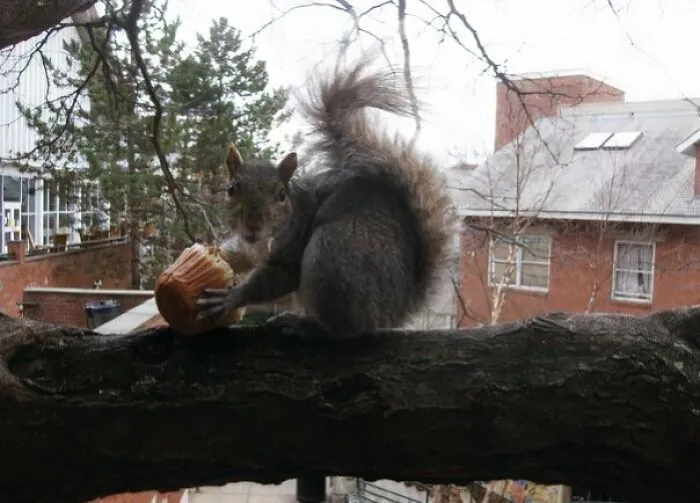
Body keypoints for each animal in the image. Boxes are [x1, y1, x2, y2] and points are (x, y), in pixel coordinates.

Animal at [196, 56, 455, 338]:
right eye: (232, 189)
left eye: (281, 195)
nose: (253, 224)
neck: (260, 242)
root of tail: (396, 310)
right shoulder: (246, 247)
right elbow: (236, 254)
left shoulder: (292, 252)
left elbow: (278, 277)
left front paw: (231, 297)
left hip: (333, 253)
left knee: (342, 327)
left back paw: (305, 323)